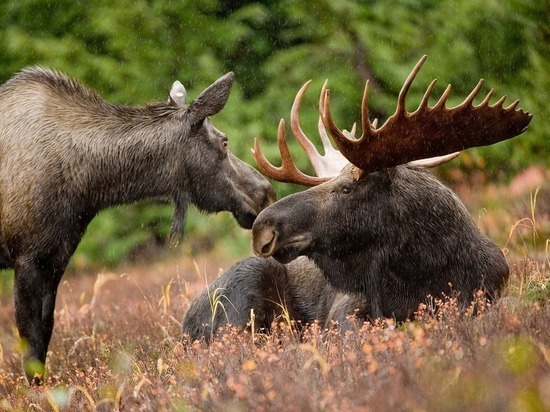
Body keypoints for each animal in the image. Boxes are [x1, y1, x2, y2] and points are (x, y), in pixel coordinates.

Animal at [0, 66, 276, 384]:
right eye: (224, 141)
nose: (265, 192)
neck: (88, 186)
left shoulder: (55, 256)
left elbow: (45, 333)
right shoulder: (27, 257)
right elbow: (31, 343)